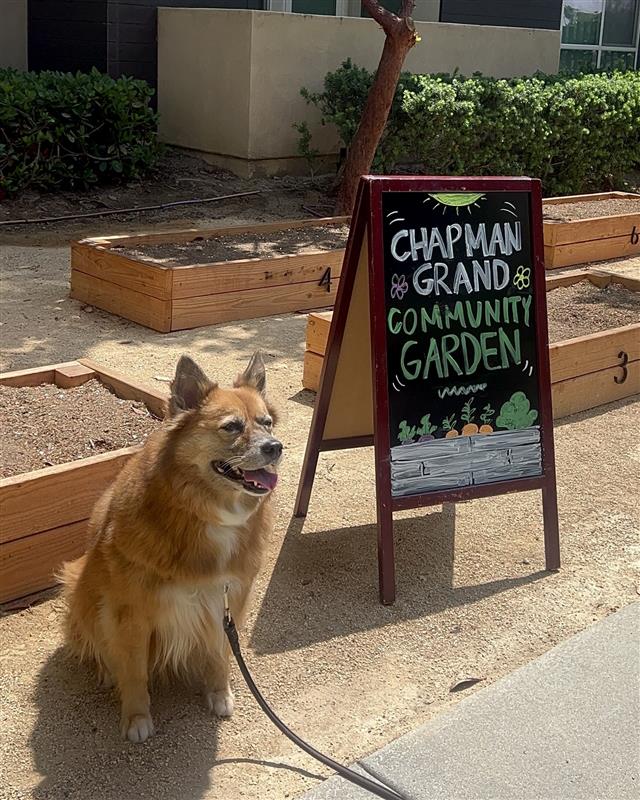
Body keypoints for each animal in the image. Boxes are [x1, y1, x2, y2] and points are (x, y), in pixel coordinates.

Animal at [60, 354, 280, 740]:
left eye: (266, 422)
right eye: (231, 427)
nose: (275, 447)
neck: (202, 512)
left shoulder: (226, 602)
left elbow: (221, 655)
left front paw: (219, 692)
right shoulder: (130, 613)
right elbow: (133, 671)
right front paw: (136, 717)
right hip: (79, 586)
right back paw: (106, 671)